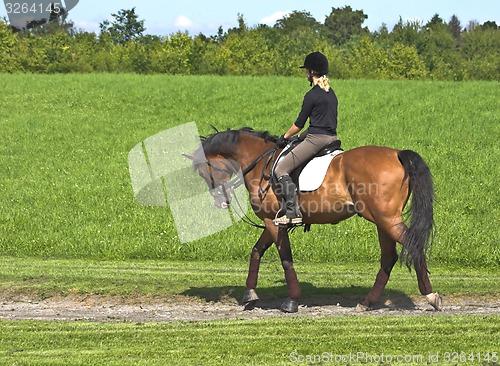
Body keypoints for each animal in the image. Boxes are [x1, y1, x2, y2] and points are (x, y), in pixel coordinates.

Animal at [186, 127, 444, 314]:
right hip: (382, 221)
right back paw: (367, 302)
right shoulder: (272, 222)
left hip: (386, 219)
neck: (260, 163)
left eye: (205, 171)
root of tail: (397, 154)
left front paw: (291, 301)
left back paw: (431, 296)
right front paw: (249, 294)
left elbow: (285, 258)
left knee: (413, 246)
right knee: (388, 258)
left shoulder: (272, 221)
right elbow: (256, 251)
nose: (220, 202)